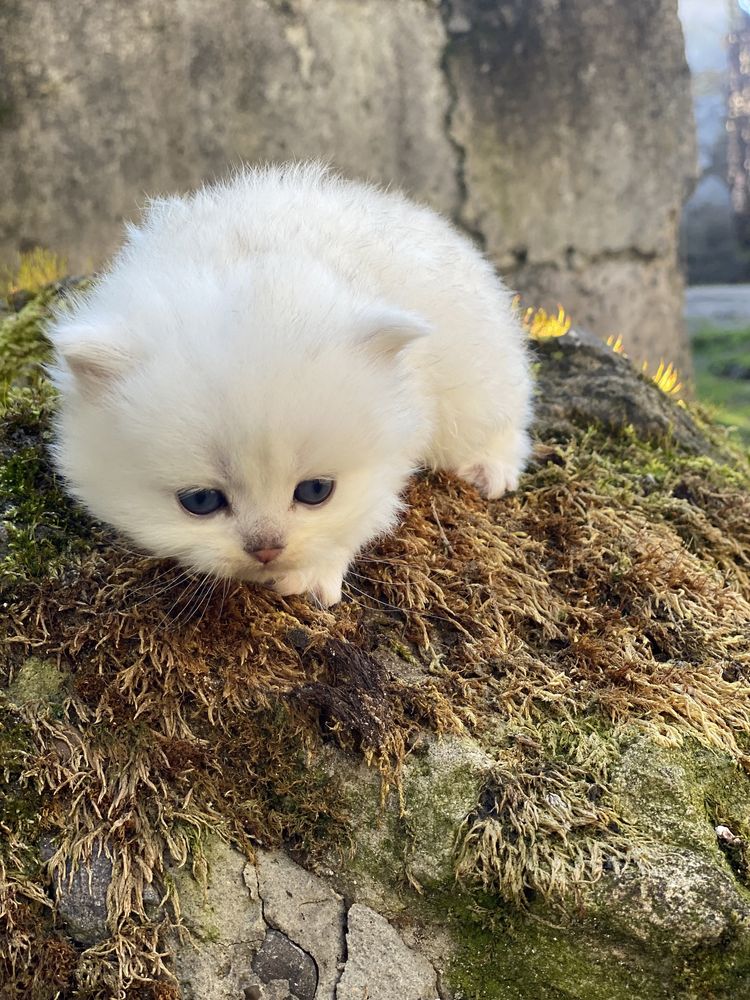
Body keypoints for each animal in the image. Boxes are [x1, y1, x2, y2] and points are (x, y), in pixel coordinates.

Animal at [47, 160, 532, 604]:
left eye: (315, 491)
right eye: (200, 501)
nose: (266, 550)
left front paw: (311, 577)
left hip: (476, 377)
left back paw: (490, 470)